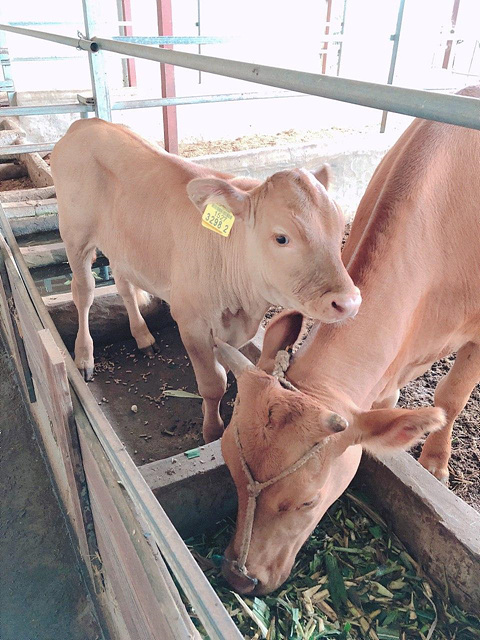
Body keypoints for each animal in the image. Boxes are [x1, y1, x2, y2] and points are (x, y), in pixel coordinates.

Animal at [51, 117, 360, 442]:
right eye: (281, 238)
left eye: (339, 226)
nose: (349, 302)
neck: (244, 303)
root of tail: (86, 123)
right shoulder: (191, 322)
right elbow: (213, 384)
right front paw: (212, 430)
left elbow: (229, 366)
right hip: (75, 235)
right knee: (83, 292)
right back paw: (84, 357)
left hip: (122, 246)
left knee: (124, 286)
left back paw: (143, 336)